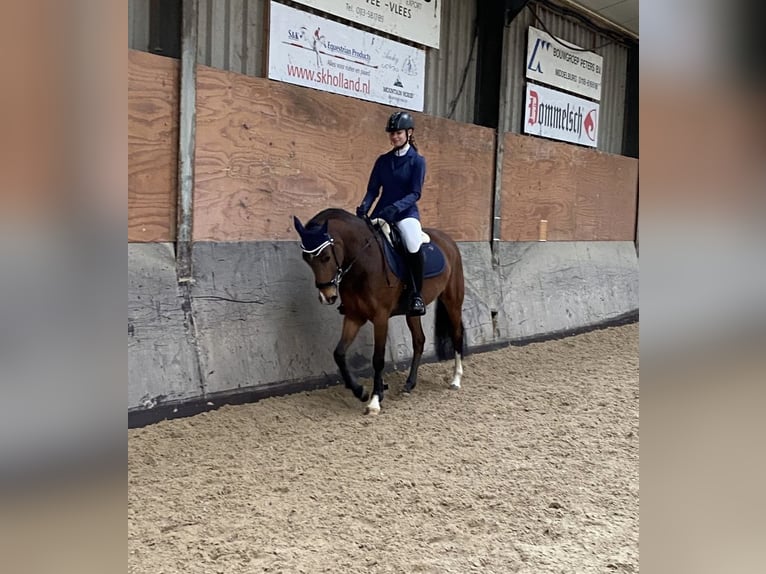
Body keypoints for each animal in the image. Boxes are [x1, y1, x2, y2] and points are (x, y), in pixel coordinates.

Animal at [294, 209, 464, 416]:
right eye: (306, 259)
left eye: (326, 256)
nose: (327, 296)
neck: (363, 262)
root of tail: (449, 240)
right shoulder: (354, 316)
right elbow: (339, 353)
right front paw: (360, 391)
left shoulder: (381, 317)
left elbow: (378, 359)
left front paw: (375, 400)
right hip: (413, 312)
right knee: (419, 341)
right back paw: (409, 384)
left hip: (452, 301)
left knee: (457, 334)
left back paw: (456, 380)